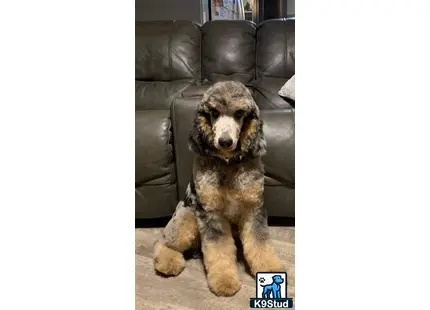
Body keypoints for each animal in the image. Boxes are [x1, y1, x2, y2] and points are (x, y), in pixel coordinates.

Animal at [153, 81, 284, 296]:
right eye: (213, 112)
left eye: (239, 113)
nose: (224, 141)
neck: (227, 163)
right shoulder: (212, 214)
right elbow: (219, 249)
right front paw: (225, 281)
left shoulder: (253, 209)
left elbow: (260, 242)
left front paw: (270, 268)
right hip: (187, 218)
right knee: (163, 241)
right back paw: (167, 262)